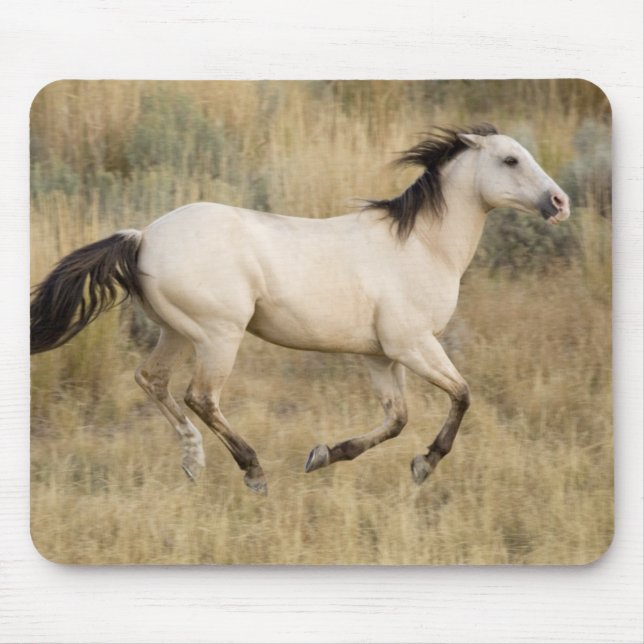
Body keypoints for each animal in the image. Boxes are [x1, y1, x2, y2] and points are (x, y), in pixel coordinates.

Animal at [30, 124, 570, 495]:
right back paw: (253, 472)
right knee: (200, 397)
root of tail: (143, 237)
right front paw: (424, 464)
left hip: (178, 332)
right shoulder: (412, 345)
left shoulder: (380, 355)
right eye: (510, 159)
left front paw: (323, 455)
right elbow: (461, 395)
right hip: (218, 336)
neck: (422, 245)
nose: (560, 202)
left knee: (152, 380)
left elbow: (397, 418)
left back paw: (193, 463)